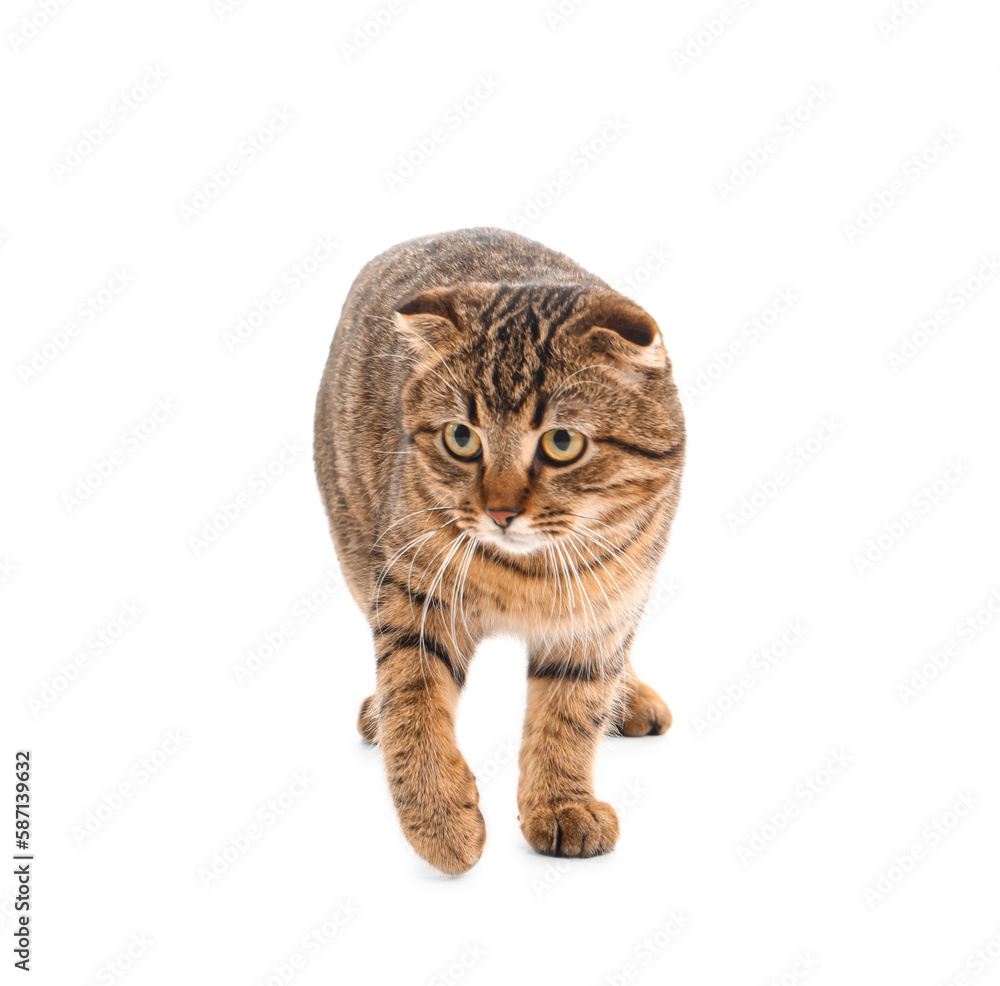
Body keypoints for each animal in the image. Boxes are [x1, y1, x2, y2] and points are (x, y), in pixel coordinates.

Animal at [316, 229, 684, 868]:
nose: (501, 512)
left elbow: (570, 714)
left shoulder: (602, 612)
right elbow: (413, 702)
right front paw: (439, 819)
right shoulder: (413, 597)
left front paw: (561, 803)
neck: (526, 572)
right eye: (462, 437)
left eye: (561, 442)